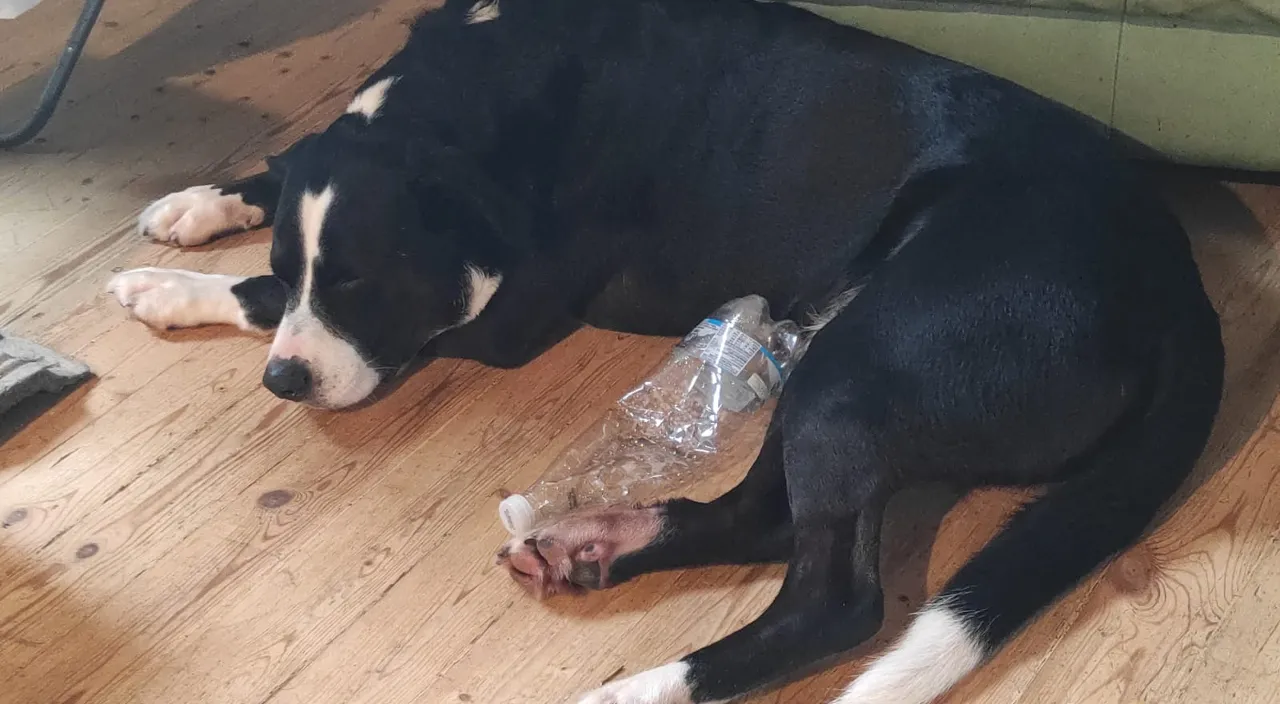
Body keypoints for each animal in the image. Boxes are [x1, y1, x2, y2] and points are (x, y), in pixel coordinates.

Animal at [104, 0, 1223, 701]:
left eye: (359, 285)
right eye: (315, 269)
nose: (284, 381)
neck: (471, 95)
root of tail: (1177, 280)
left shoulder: (511, 311)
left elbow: (265, 298)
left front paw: (175, 292)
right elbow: (276, 179)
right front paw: (196, 207)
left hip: (868, 360)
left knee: (835, 601)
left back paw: (643, 685)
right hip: (838, 356)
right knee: (763, 518)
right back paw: (594, 543)